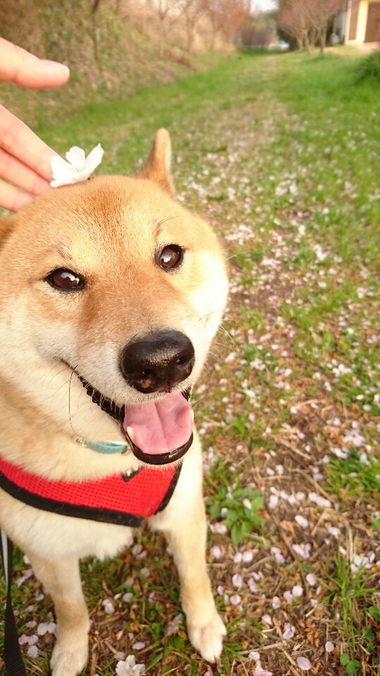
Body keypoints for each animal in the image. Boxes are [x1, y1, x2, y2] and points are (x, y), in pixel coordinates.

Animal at [0, 129, 229, 672]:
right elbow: (70, 608)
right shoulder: (47, 551)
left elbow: (195, 575)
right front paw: (70, 653)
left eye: (169, 256)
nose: (162, 361)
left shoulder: (184, 505)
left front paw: (203, 624)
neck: (113, 463)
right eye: (64, 279)